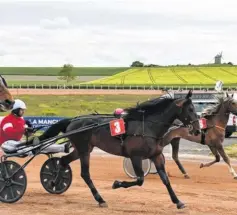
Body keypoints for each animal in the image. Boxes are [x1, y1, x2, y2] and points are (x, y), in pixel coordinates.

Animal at [31, 90, 199, 208]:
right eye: (190, 109)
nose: (197, 129)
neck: (147, 127)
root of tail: (73, 120)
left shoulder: (156, 155)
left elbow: (165, 180)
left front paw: (178, 202)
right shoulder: (135, 156)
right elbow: (140, 180)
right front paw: (117, 183)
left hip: (82, 149)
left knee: (63, 161)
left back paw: (54, 182)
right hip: (84, 150)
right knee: (85, 173)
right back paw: (100, 199)